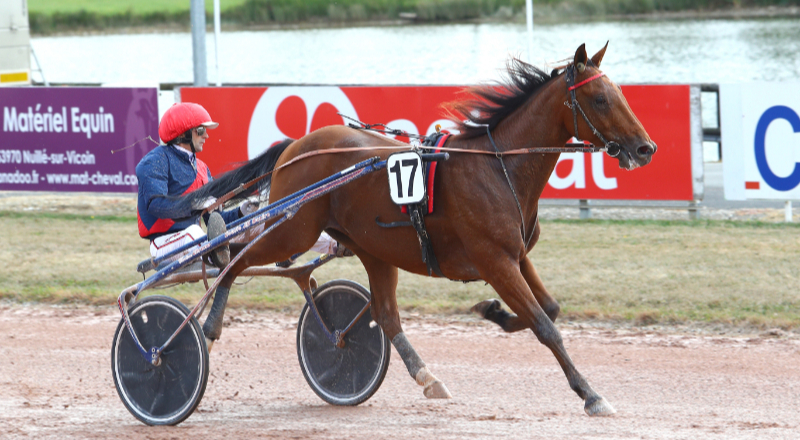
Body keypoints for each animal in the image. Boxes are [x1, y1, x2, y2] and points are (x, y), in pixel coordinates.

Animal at [178, 43, 652, 418]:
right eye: (599, 99)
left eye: (620, 93)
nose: (646, 148)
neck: (497, 167)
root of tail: (294, 147)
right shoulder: (494, 260)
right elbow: (544, 325)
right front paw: (591, 395)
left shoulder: (516, 255)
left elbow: (549, 309)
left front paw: (493, 311)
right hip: (294, 230)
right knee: (235, 257)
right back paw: (209, 321)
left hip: (371, 248)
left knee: (386, 316)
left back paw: (425, 376)